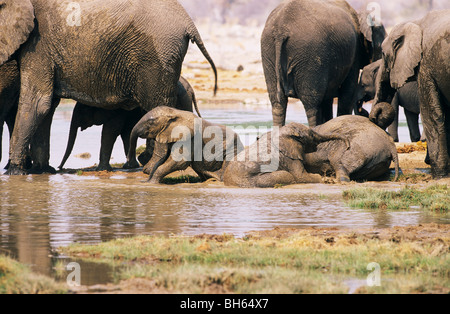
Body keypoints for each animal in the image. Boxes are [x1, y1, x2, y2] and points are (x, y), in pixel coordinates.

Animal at [0, 0, 218, 175]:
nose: (61, 169)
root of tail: (189, 23)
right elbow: (47, 105)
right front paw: (42, 171)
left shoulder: (38, 44)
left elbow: (37, 103)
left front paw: (15, 173)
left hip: (157, 55)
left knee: (156, 105)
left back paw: (148, 165)